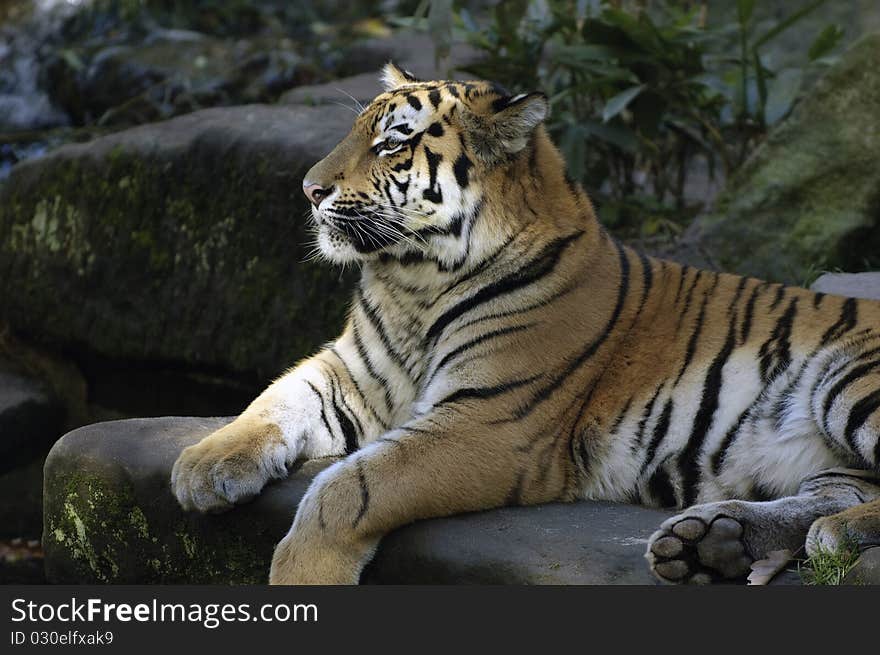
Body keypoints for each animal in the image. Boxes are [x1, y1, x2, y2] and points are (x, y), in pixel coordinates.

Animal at [170, 61, 880, 584]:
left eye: (391, 142)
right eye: (355, 133)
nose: (309, 190)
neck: (413, 283)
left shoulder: (488, 423)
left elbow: (348, 487)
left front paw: (301, 573)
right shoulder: (351, 372)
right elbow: (276, 398)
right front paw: (201, 466)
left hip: (849, 381)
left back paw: (825, 537)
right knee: (835, 492)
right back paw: (713, 540)